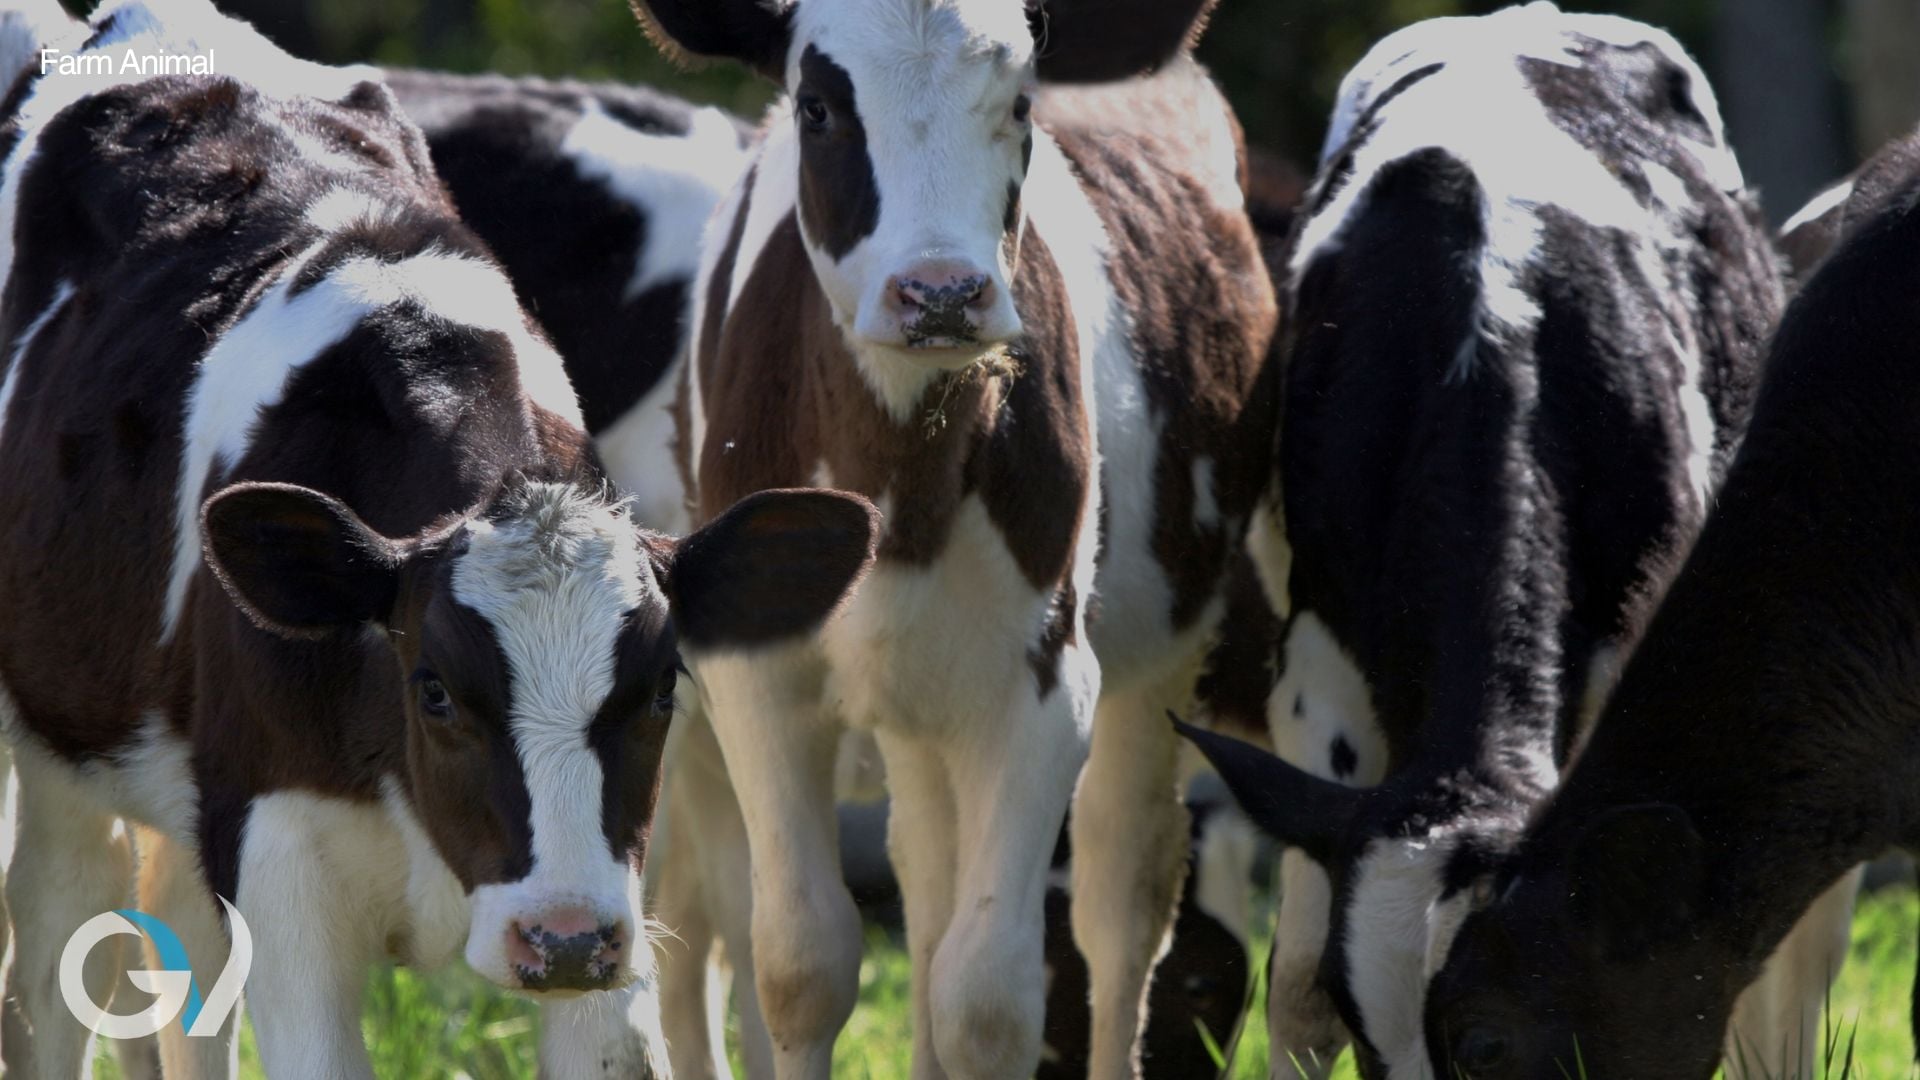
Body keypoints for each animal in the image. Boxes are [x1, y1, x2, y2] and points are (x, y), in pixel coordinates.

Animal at [0, 5, 877, 1077]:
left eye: (662, 691)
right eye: (436, 691)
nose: (562, 938)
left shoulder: (609, 904)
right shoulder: (282, 866)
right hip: (57, 744)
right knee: (56, 945)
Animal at [627, 0, 1280, 1074]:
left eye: (1021, 101)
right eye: (817, 106)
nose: (939, 292)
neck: (902, 479)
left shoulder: (1047, 683)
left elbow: (988, 1001)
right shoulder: (754, 674)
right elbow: (800, 966)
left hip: (1160, 652)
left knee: (1119, 910)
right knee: (927, 887)